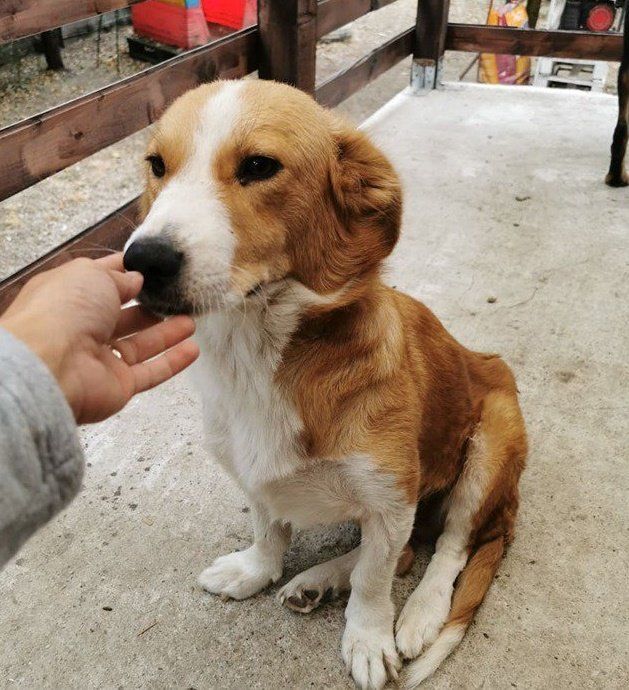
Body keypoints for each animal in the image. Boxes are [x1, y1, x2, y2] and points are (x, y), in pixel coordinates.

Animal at [123, 80, 527, 689]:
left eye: (260, 166)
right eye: (157, 165)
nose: (142, 261)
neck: (258, 355)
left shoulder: (391, 497)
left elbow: (375, 579)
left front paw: (368, 636)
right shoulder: (254, 475)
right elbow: (270, 529)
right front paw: (256, 570)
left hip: (492, 442)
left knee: (446, 548)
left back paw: (418, 614)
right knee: (408, 551)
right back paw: (317, 580)